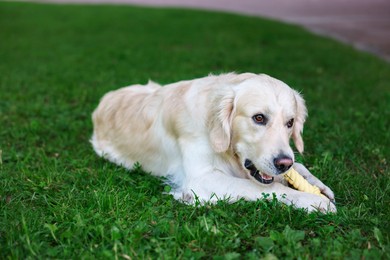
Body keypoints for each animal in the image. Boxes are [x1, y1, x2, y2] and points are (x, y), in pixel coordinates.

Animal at [91, 72, 336, 212]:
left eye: (290, 122)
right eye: (258, 118)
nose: (283, 163)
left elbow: (299, 167)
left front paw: (318, 186)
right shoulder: (201, 179)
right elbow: (264, 186)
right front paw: (313, 201)